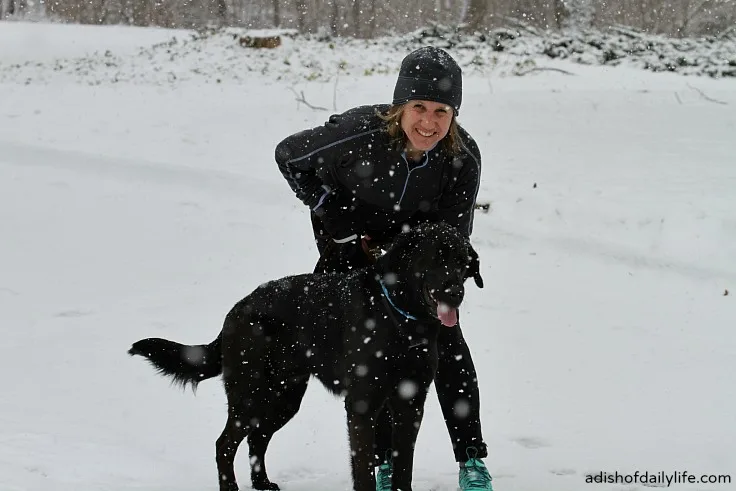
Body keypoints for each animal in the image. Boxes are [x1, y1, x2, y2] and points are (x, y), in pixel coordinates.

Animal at [126, 223, 484, 491]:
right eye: (436, 257)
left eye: (462, 261)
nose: (456, 292)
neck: (401, 319)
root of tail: (237, 309)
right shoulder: (362, 405)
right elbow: (364, 469)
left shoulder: (411, 403)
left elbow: (402, 467)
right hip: (250, 394)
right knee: (224, 444)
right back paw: (231, 488)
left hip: (284, 397)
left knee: (257, 438)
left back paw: (262, 483)